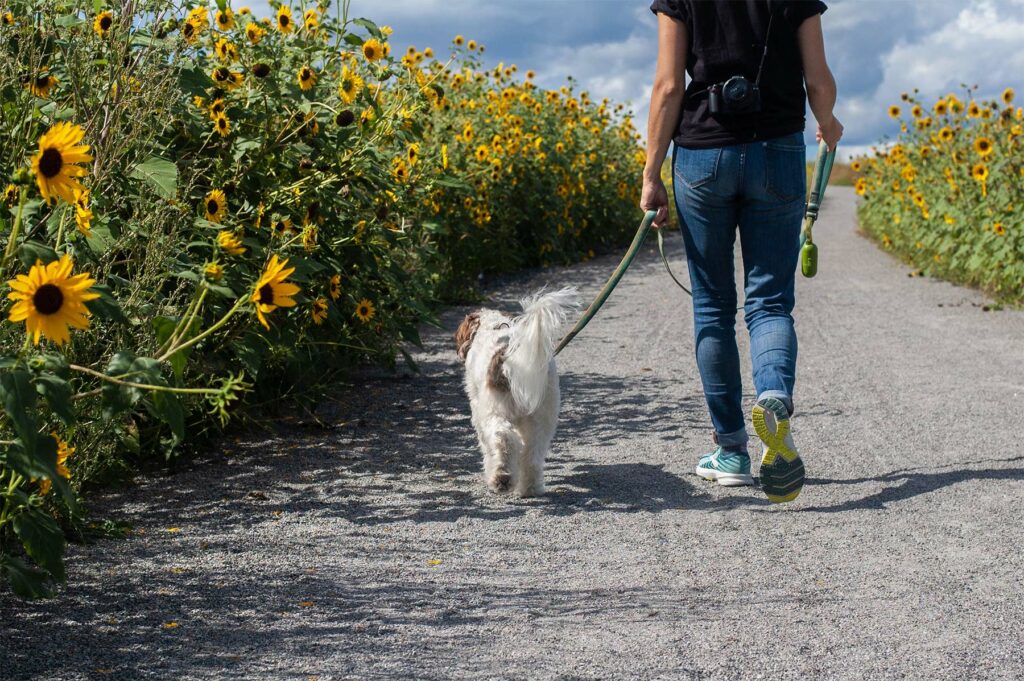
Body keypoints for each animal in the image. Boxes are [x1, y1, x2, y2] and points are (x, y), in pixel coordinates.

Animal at [454, 284, 577, 493]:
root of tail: (508, 356)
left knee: (504, 439)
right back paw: (530, 488)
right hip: (542, 415)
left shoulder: (478, 411)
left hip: (495, 412)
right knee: (533, 453)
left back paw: (501, 478)